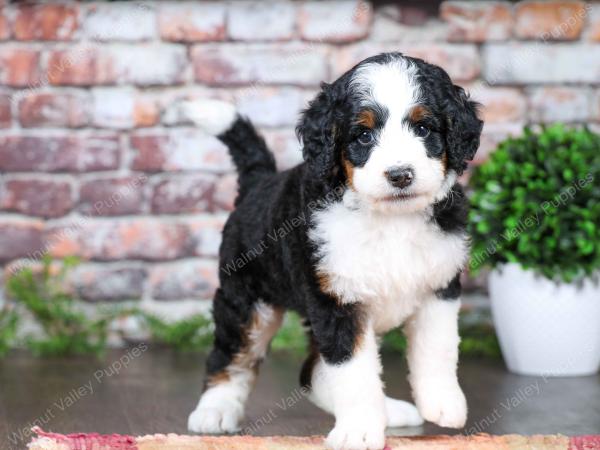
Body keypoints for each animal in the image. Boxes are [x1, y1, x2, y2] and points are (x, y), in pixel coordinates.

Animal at [182, 51, 482, 448]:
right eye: (364, 135)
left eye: (423, 129)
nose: (400, 175)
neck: (391, 220)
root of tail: (259, 182)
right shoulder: (336, 302)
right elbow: (352, 371)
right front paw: (359, 430)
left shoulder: (439, 287)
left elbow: (438, 347)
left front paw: (443, 402)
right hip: (246, 300)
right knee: (233, 354)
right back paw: (214, 410)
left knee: (312, 373)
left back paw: (391, 412)